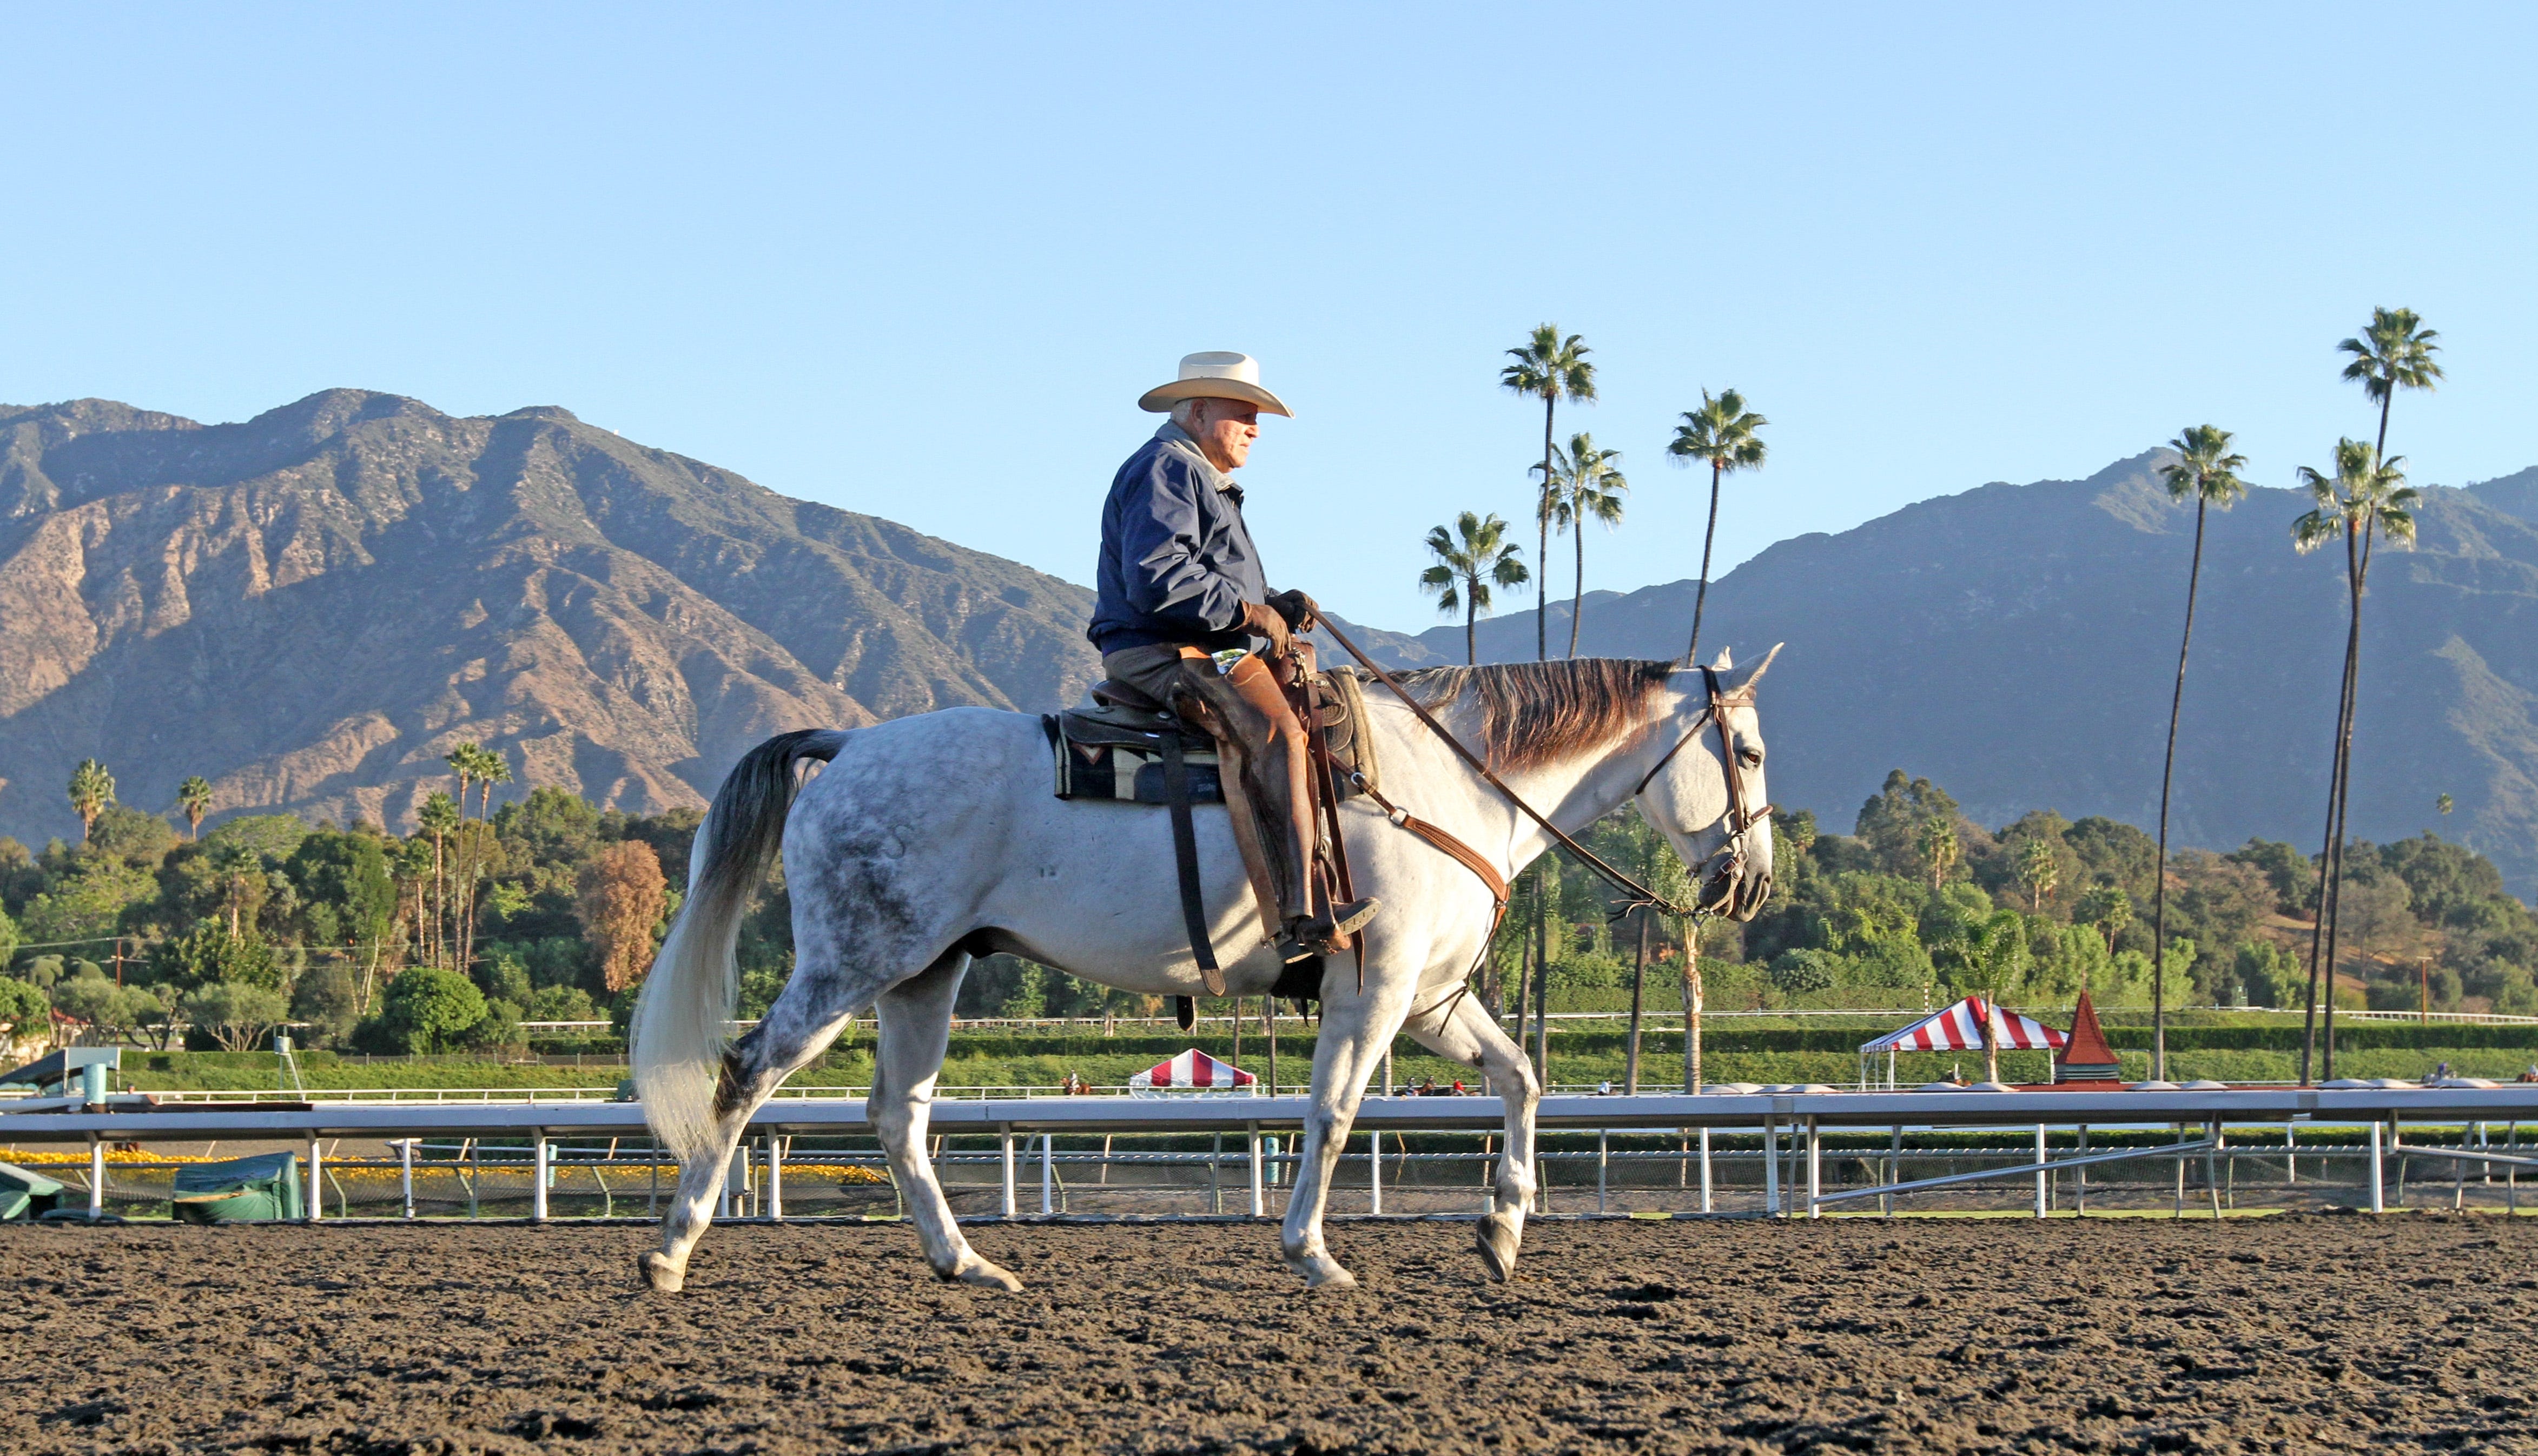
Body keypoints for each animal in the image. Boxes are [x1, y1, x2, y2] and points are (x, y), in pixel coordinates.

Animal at [634, 649, 1787, 1288]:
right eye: (1751, 753)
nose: (1753, 883)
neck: (1448, 783)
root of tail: (848, 745)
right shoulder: (1373, 991)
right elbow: (1333, 1113)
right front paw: (1312, 1251)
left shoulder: (1432, 999)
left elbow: (1521, 1077)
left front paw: (1501, 1231)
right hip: (850, 964)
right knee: (745, 1074)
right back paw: (672, 1250)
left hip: (926, 974)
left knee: (898, 1116)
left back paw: (966, 1261)